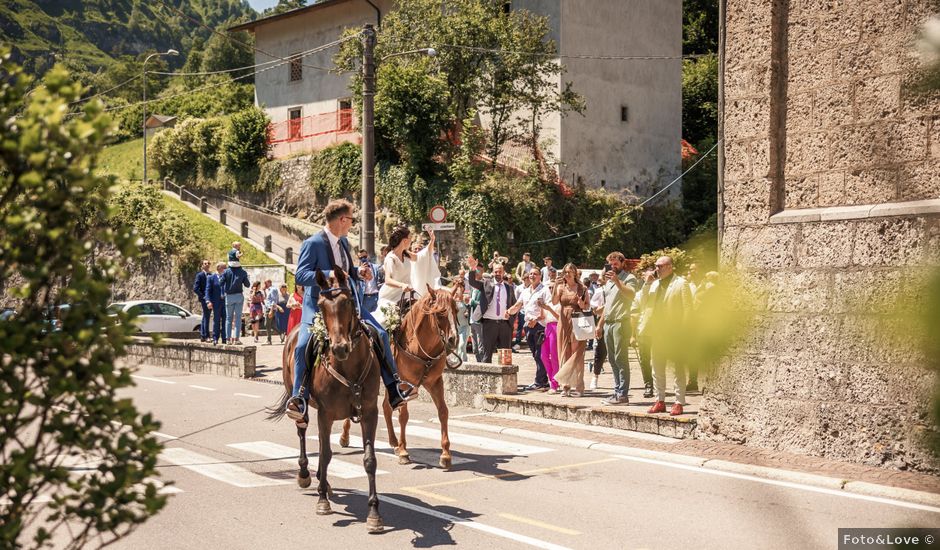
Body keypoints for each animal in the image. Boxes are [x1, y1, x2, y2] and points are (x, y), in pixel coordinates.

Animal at [266, 270, 384, 536]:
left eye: (348, 301)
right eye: (321, 305)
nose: (340, 348)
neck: (348, 367)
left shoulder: (369, 413)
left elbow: (369, 459)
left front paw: (374, 513)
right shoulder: (326, 413)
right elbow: (327, 454)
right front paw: (322, 501)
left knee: (320, 444)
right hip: (303, 406)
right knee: (304, 435)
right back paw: (306, 475)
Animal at [340, 288, 460, 470]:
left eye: (456, 310)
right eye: (439, 313)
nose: (454, 339)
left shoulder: (434, 383)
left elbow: (443, 412)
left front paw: (445, 455)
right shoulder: (404, 383)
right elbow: (403, 416)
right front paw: (404, 452)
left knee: (386, 407)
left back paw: (394, 442)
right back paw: (345, 437)